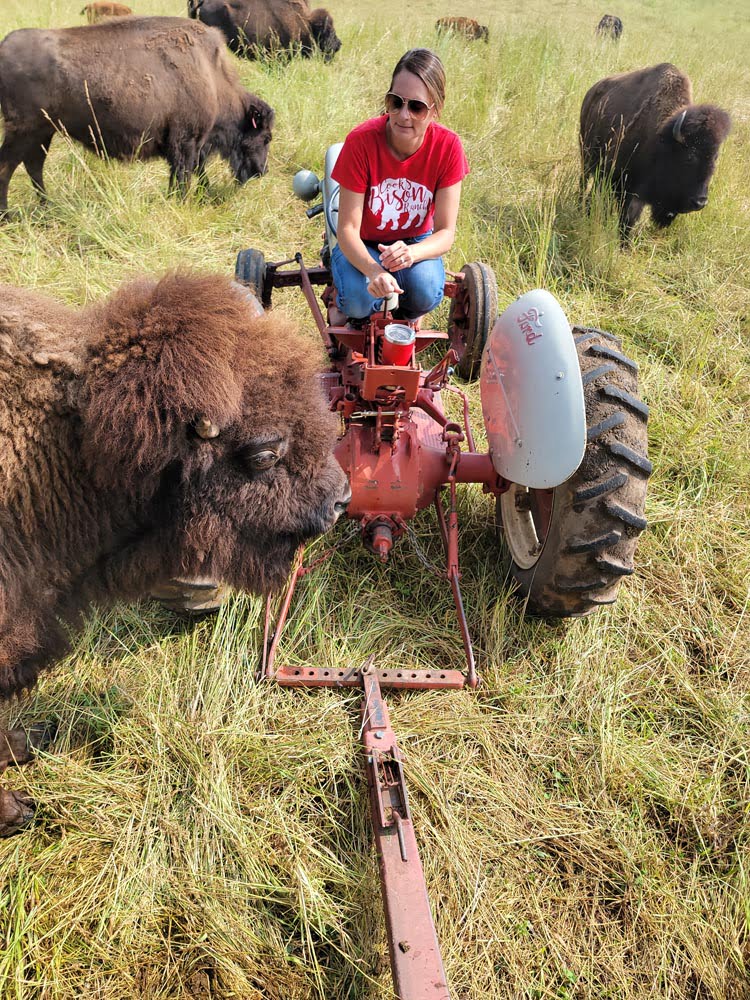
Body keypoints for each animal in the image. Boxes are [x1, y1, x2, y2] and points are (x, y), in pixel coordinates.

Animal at [0, 14, 276, 214]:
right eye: (265, 138)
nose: (262, 171)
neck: (213, 78)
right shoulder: (186, 141)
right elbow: (184, 175)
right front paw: (182, 203)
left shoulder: (191, 145)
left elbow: (193, 172)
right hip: (23, 132)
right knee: (8, 167)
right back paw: (8, 215)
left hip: (43, 133)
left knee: (34, 166)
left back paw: (47, 207)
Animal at [580, 62, 736, 234]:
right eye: (689, 157)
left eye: (715, 159)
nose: (700, 202)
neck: (661, 142)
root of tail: (593, 90)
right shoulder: (613, 178)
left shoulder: (638, 194)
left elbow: (628, 220)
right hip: (585, 154)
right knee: (584, 181)